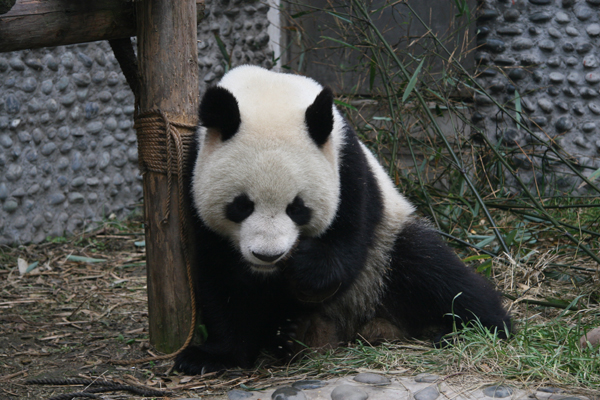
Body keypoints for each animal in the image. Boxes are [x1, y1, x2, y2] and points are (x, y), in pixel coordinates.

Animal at [175, 65, 510, 376]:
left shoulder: (348, 167)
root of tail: (365, 323)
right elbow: (222, 279)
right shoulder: (193, 177)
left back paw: (478, 328)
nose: (268, 255)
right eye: (242, 206)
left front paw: (306, 270)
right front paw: (212, 356)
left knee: (434, 271)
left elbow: (347, 243)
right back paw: (294, 337)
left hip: (385, 251)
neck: (270, 91)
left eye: (297, 208)